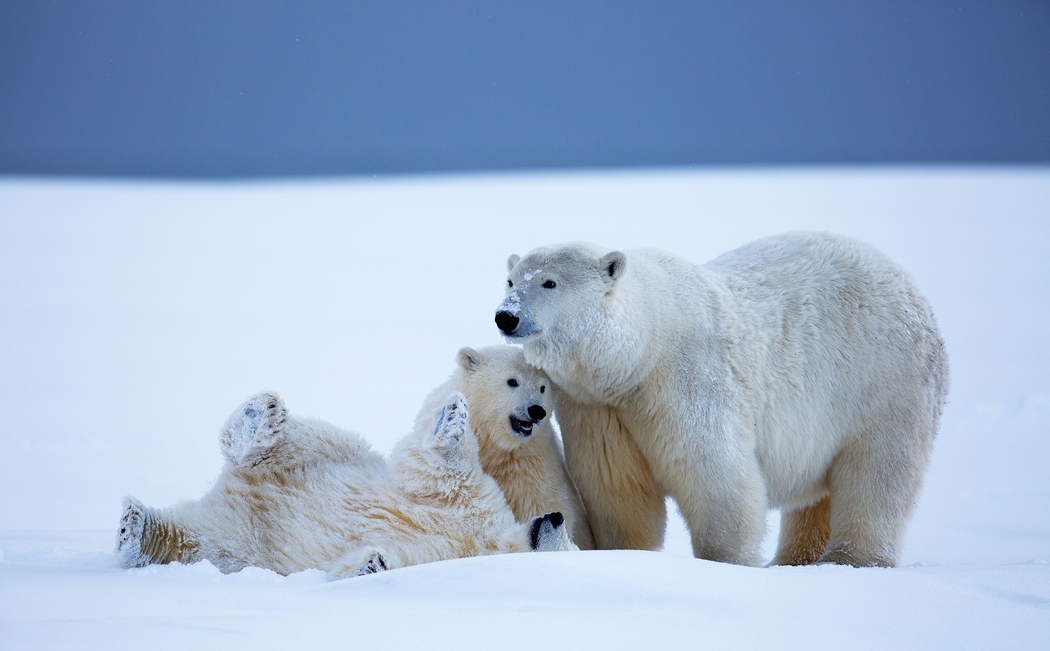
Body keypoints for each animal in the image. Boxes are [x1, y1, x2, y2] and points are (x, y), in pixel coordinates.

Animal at [117, 388, 575, 575]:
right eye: (570, 535)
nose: (555, 517)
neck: (490, 542)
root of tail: (231, 497)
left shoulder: (446, 553)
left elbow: (394, 558)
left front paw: (371, 564)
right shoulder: (479, 505)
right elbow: (441, 474)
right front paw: (454, 418)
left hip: (240, 546)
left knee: (196, 543)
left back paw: (137, 530)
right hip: (333, 455)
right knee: (307, 440)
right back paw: (261, 418)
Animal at [413, 346, 596, 550]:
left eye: (542, 388)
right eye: (512, 381)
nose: (536, 410)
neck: (493, 445)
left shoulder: (532, 466)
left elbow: (539, 504)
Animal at [495, 233, 949, 562]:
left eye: (550, 282)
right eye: (511, 280)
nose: (506, 316)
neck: (639, 354)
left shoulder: (686, 379)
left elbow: (715, 475)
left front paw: (727, 563)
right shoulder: (597, 407)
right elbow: (618, 489)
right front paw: (625, 553)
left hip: (885, 381)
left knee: (878, 474)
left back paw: (852, 558)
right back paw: (796, 559)